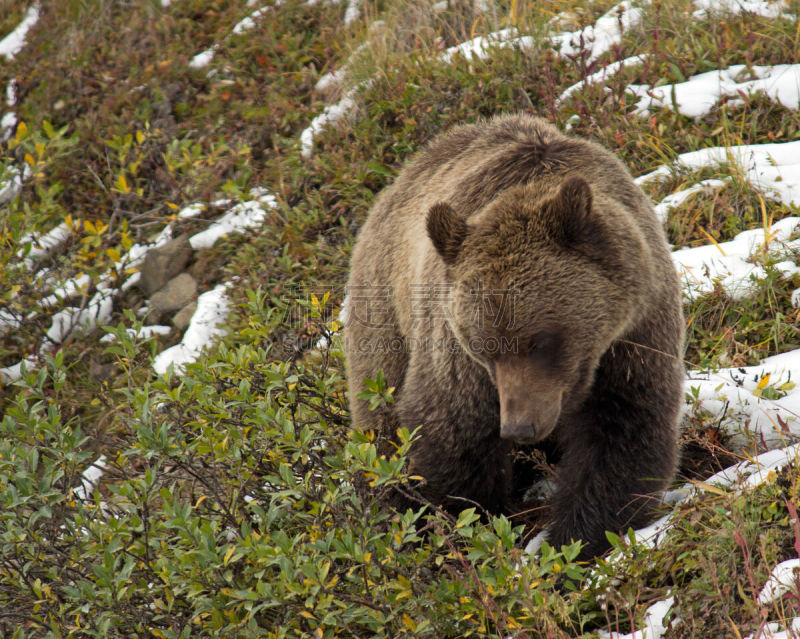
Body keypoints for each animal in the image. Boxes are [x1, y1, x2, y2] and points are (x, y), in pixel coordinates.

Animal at [342, 115, 680, 560]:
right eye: (483, 348)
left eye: (542, 340)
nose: (520, 426)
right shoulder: (456, 357)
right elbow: (452, 432)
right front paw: (469, 527)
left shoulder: (635, 334)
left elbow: (623, 429)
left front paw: (576, 539)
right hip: (385, 318)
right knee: (381, 429)